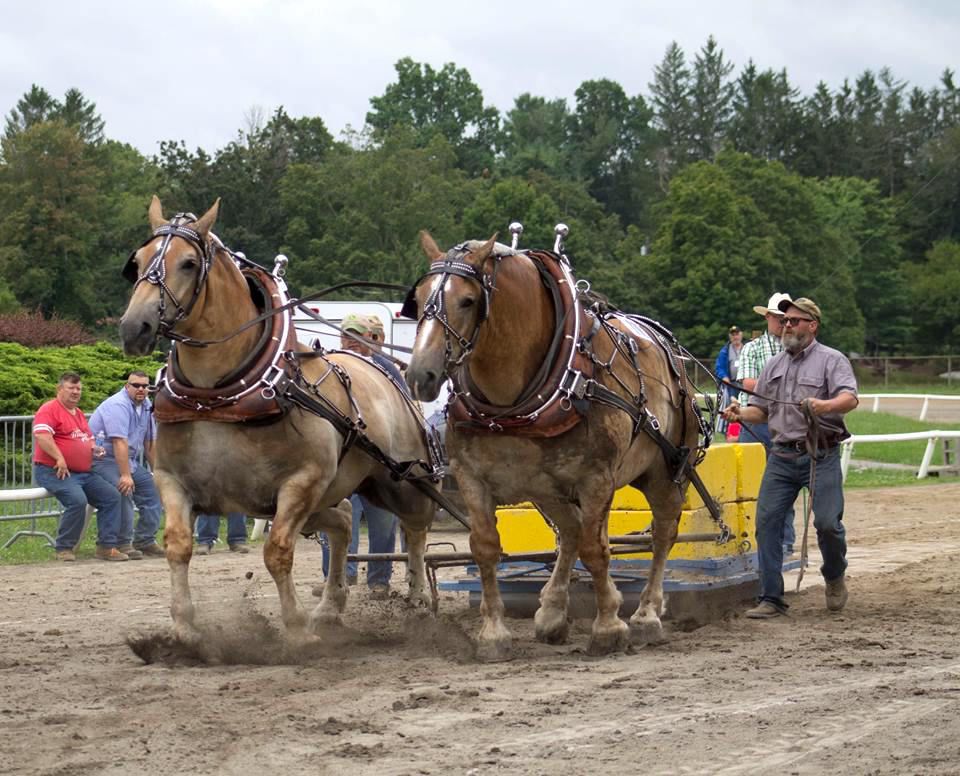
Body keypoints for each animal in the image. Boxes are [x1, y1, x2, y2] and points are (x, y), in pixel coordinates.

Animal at [117, 199, 442, 644]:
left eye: (187, 263)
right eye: (137, 262)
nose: (135, 327)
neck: (219, 397)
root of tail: (385, 372)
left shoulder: (301, 482)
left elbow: (277, 552)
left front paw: (297, 628)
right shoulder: (171, 479)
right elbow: (179, 546)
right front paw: (185, 627)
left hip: (398, 483)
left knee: (415, 532)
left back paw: (419, 601)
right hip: (327, 495)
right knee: (343, 521)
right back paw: (330, 605)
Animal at [402, 232, 708, 660]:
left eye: (467, 300)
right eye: (418, 298)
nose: (420, 375)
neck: (513, 402)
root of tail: (666, 345)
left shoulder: (596, 479)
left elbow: (598, 551)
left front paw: (609, 627)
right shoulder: (470, 477)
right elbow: (485, 547)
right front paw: (493, 634)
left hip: (663, 469)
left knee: (662, 533)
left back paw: (647, 615)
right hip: (546, 488)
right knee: (572, 531)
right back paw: (551, 612)